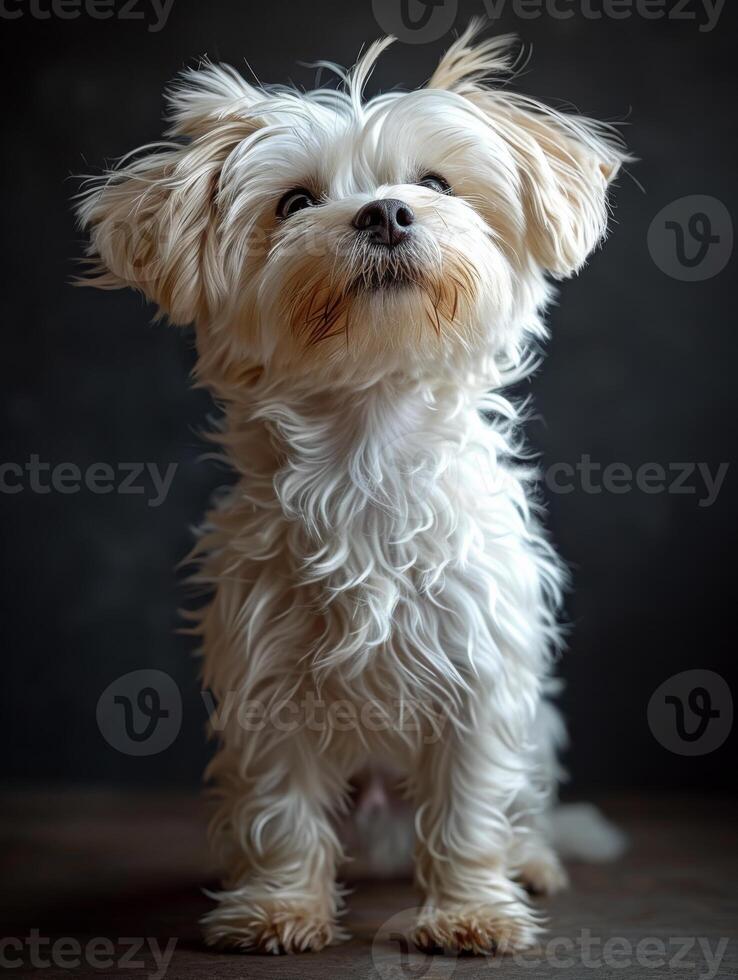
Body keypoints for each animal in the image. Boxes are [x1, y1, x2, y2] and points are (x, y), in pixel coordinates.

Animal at [76, 24, 628, 956]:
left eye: (435, 184)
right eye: (295, 202)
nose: (386, 212)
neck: (369, 440)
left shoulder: (482, 677)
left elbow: (471, 808)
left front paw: (470, 911)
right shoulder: (266, 683)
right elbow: (279, 809)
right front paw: (277, 906)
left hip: (536, 731)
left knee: (521, 808)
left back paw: (533, 860)